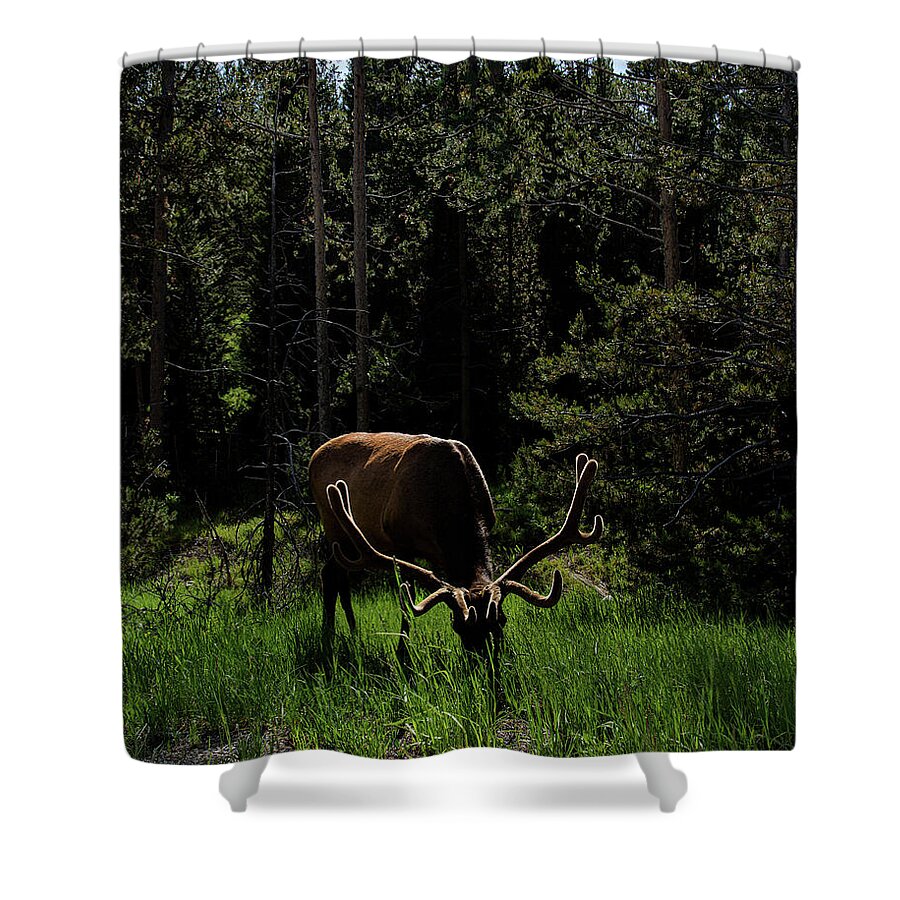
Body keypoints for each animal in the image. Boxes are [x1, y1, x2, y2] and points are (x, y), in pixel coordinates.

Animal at [309, 432, 603, 657]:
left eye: (500, 621)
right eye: (457, 626)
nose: (484, 664)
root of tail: (314, 456)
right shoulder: (401, 544)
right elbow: (406, 604)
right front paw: (402, 655)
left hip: (347, 542)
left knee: (336, 575)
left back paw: (351, 632)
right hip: (334, 526)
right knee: (332, 575)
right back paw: (328, 636)